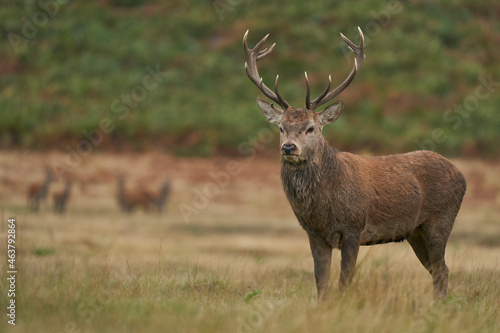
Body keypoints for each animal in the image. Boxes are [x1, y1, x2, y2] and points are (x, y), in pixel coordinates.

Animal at [244, 27, 466, 300]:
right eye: (281, 127)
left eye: (311, 128)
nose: (288, 147)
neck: (323, 208)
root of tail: (461, 174)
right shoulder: (314, 234)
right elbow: (321, 281)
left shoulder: (353, 228)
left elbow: (345, 279)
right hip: (415, 232)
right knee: (438, 270)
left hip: (440, 221)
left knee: (442, 268)